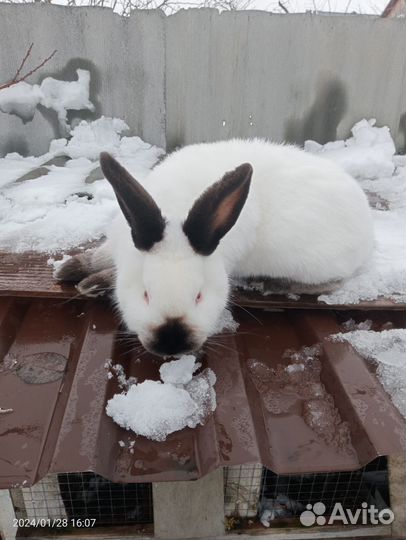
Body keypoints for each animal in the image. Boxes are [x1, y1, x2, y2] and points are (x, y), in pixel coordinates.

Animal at [54, 139, 374, 356]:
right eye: (146, 295)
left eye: (199, 296)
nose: (172, 344)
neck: (177, 210)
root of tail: (365, 221)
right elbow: (100, 255)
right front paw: (70, 270)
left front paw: (90, 283)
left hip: (309, 263)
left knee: (334, 282)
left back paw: (270, 284)